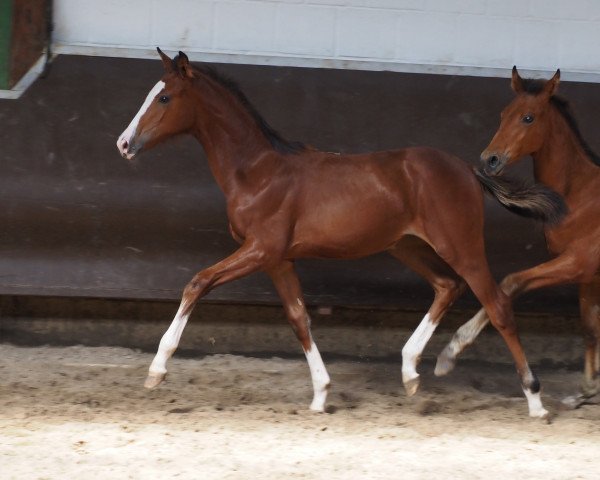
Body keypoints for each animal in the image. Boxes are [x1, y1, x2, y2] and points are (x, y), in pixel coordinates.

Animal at [116, 49, 564, 416]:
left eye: (164, 98)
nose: (123, 143)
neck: (257, 171)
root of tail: (468, 170)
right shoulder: (278, 259)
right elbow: (299, 318)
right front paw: (320, 394)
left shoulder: (260, 249)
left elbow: (198, 282)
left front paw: (157, 370)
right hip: (406, 246)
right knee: (446, 286)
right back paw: (411, 372)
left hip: (461, 246)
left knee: (497, 305)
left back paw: (535, 400)